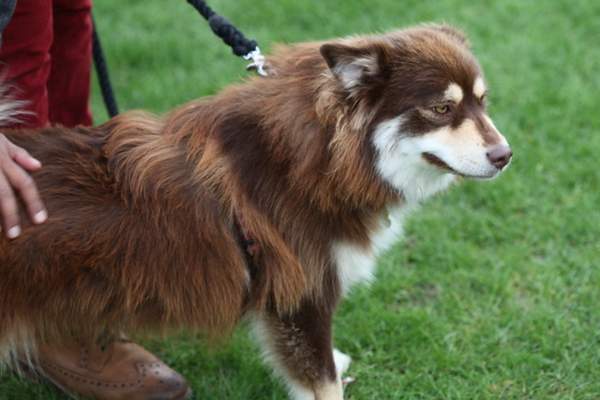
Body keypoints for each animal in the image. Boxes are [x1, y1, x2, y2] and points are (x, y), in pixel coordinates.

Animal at [0, 24, 510, 396]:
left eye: (483, 102)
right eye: (442, 108)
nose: (506, 156)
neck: (321, 159)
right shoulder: (302, 297)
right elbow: (322, 383)